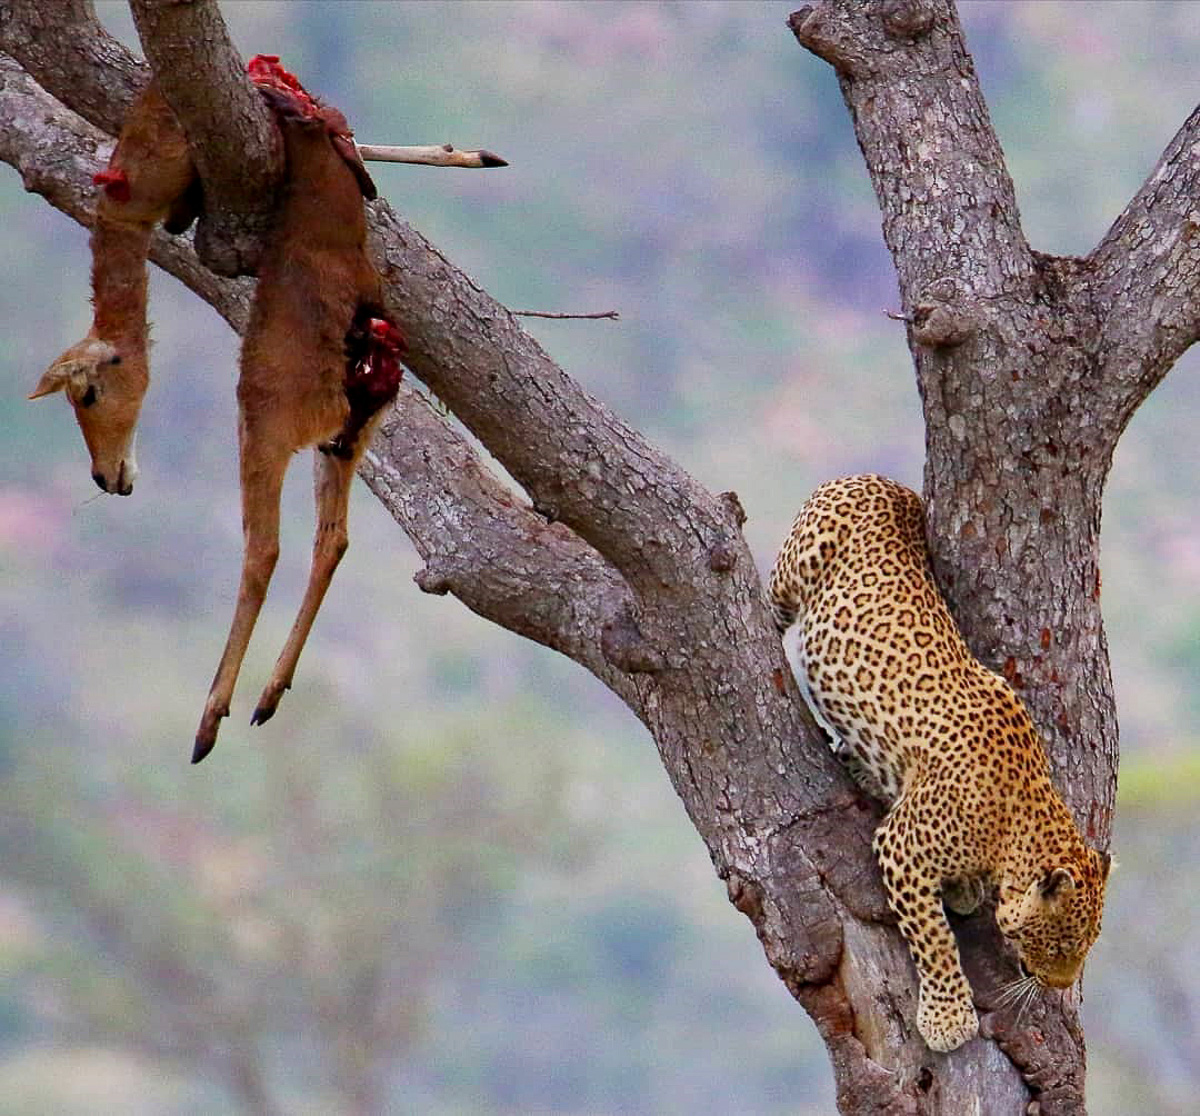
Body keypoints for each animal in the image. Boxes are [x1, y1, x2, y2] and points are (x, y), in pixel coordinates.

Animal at [768, 474, 1110, 1053]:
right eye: (1061, 943)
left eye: (1089, 945)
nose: (1059, 985)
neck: (1014, 823)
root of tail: (882, 480)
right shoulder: (902, 847)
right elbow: (933, 937)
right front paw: (948, 1018)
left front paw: (965, 890)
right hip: (798, 568)